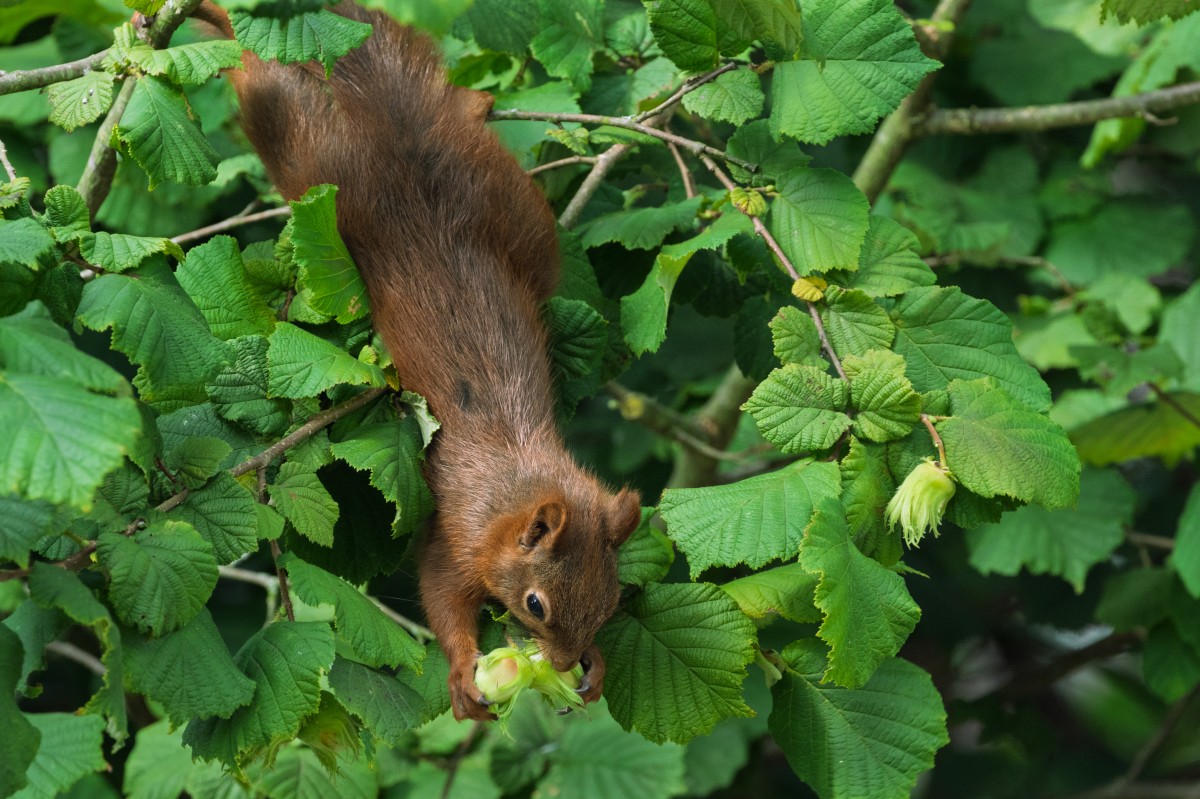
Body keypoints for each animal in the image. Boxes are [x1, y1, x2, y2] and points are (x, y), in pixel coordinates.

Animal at [194, 1, 641, 721]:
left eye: (611, 601)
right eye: (535, 603)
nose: (564, 661)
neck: (516, 480)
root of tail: (394, 144)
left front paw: (594, 664)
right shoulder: (457, 532)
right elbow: (440, 591)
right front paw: (464, 672)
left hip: (509, 204)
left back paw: (475, 100)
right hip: (304, 155)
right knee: (263, 86)